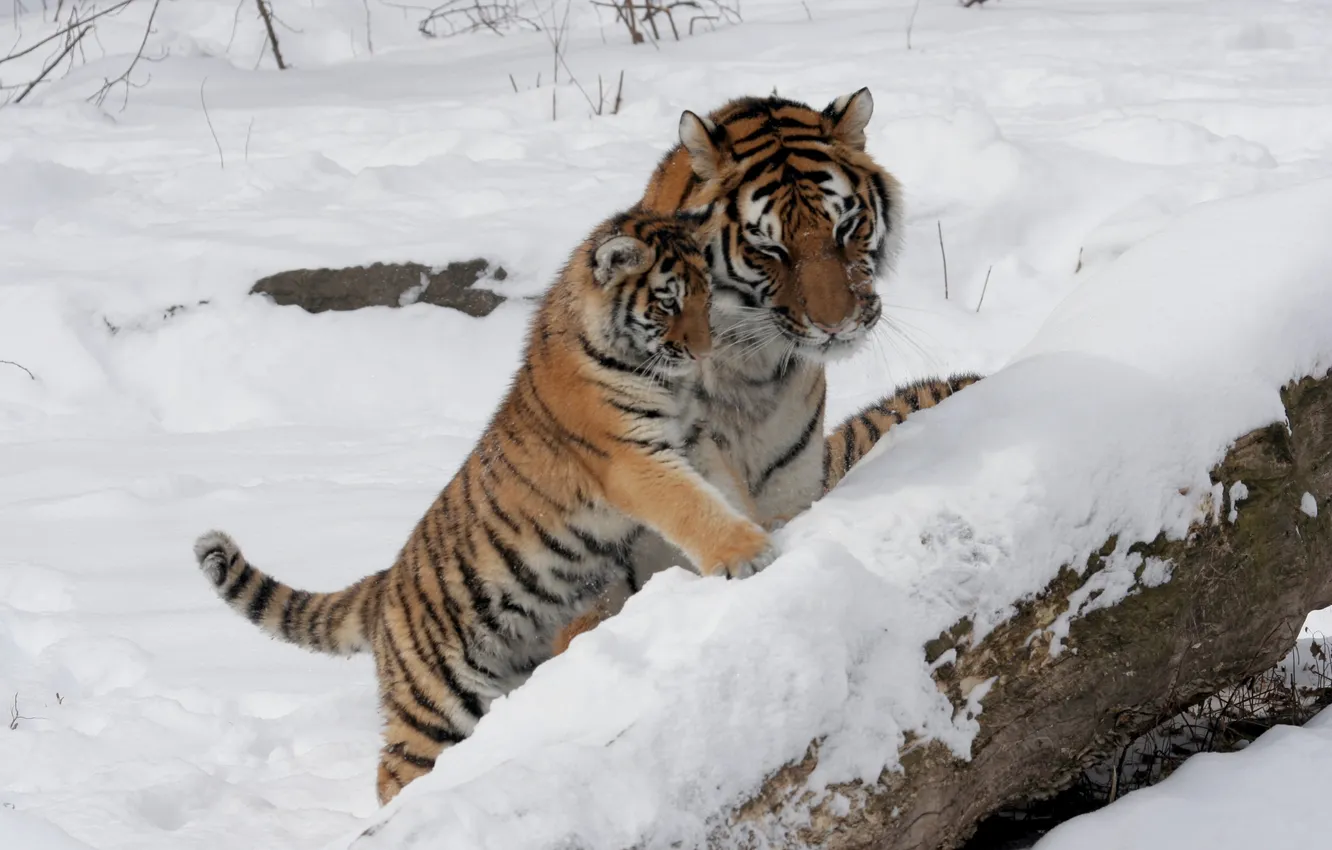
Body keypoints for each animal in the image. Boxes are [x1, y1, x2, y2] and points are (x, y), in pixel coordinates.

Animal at [190, 208, 776, 805]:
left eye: (707, 296)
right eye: (666, 303)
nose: (703, 353)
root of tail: (383, 584)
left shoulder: (696, 441)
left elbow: (726, 493)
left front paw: (771, 531)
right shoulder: (633, 458)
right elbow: (692, 507)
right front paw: (748, 554)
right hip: (436, 703)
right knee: (395, 773)